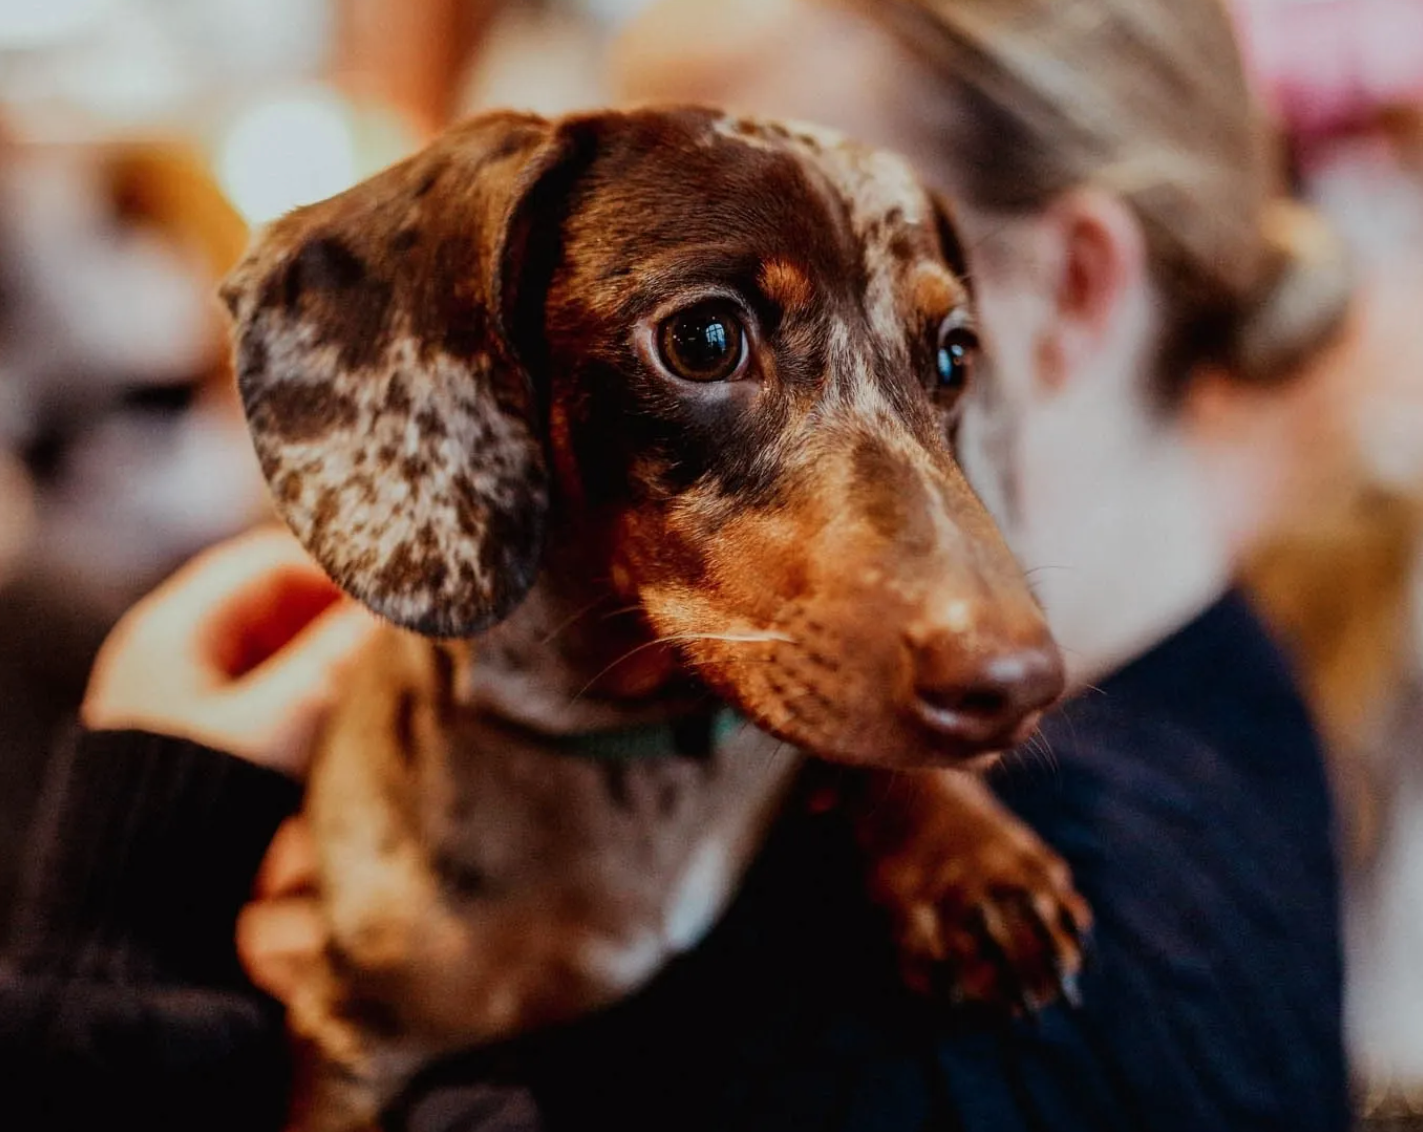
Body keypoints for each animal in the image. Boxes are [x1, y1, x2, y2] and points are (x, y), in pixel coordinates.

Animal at [224, 108, 1087, 1132]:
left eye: (954, 357)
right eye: (704, 338)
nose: (1019, 689)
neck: (635, 761)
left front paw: (968, 858)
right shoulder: (346, 1042)